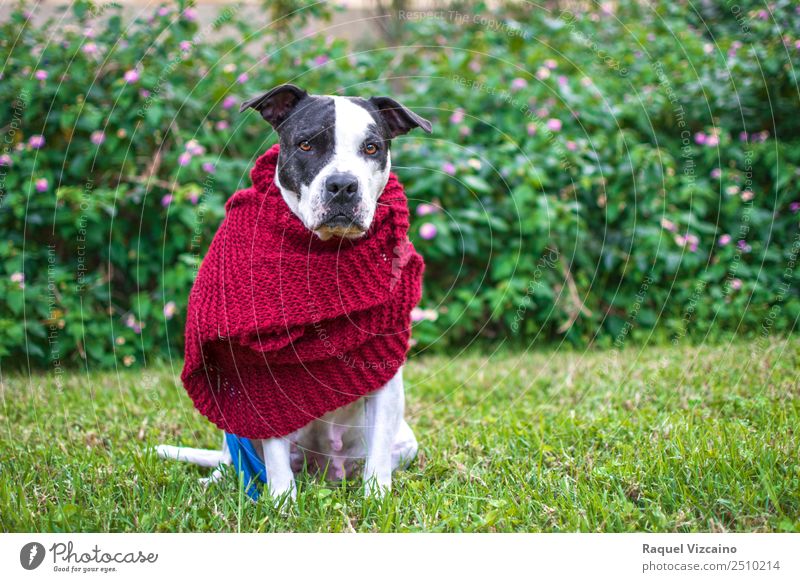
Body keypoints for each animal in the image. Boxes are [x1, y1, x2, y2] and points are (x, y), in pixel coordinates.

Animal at [156, 84, 432, 504]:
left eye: (371, 148)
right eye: (305, 145)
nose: (342, 185)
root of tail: (322, 471)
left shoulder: (382, 372)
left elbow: (378, 455)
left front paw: (377, 498)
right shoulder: (266, 381)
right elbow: (274, 455)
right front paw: (282, 503)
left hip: (405, 442)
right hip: (236, 429)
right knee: (233, 460)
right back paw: (218, 481)